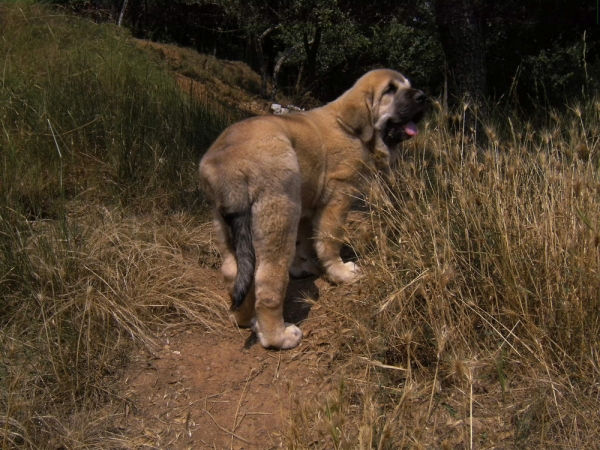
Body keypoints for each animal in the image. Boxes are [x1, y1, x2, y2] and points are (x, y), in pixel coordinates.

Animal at [199, 68, 424, 350]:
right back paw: (278, 336)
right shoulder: (339, 195)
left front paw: (303, 265)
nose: (423, 97)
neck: (352, 130)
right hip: (279, 215)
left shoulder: (309, 202)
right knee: (268, 283)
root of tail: (229, 162)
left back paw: (245, 318)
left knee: (233, 272)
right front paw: (339, 272)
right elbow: (329, 240)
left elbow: (306, 240)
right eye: (390, 90)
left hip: (226, 224)